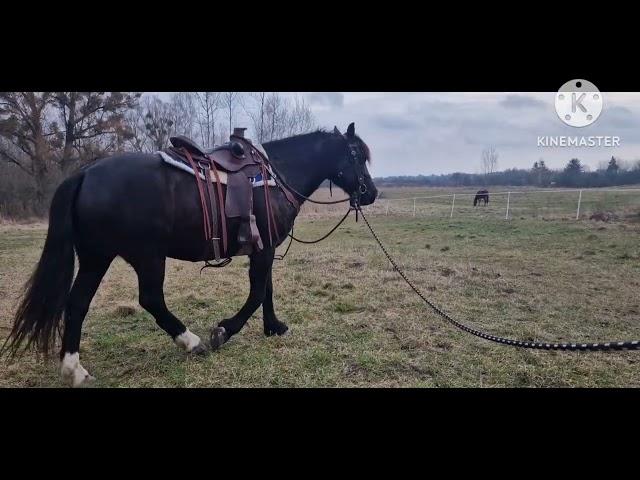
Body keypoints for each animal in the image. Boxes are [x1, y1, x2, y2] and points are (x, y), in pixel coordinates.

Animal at [1, 123, 376, 386]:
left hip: (96, 258)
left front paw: (274, 327)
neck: (277, 174)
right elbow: (257, 292)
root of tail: (85, 173)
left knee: (77, 303)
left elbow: (267, 290)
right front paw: (224, 330)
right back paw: (191, 342)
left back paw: (74, 369)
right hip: (147, 256)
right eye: (357, 155)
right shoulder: (265, 248)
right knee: (151, 299)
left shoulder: (263, 247)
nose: (370, 193)